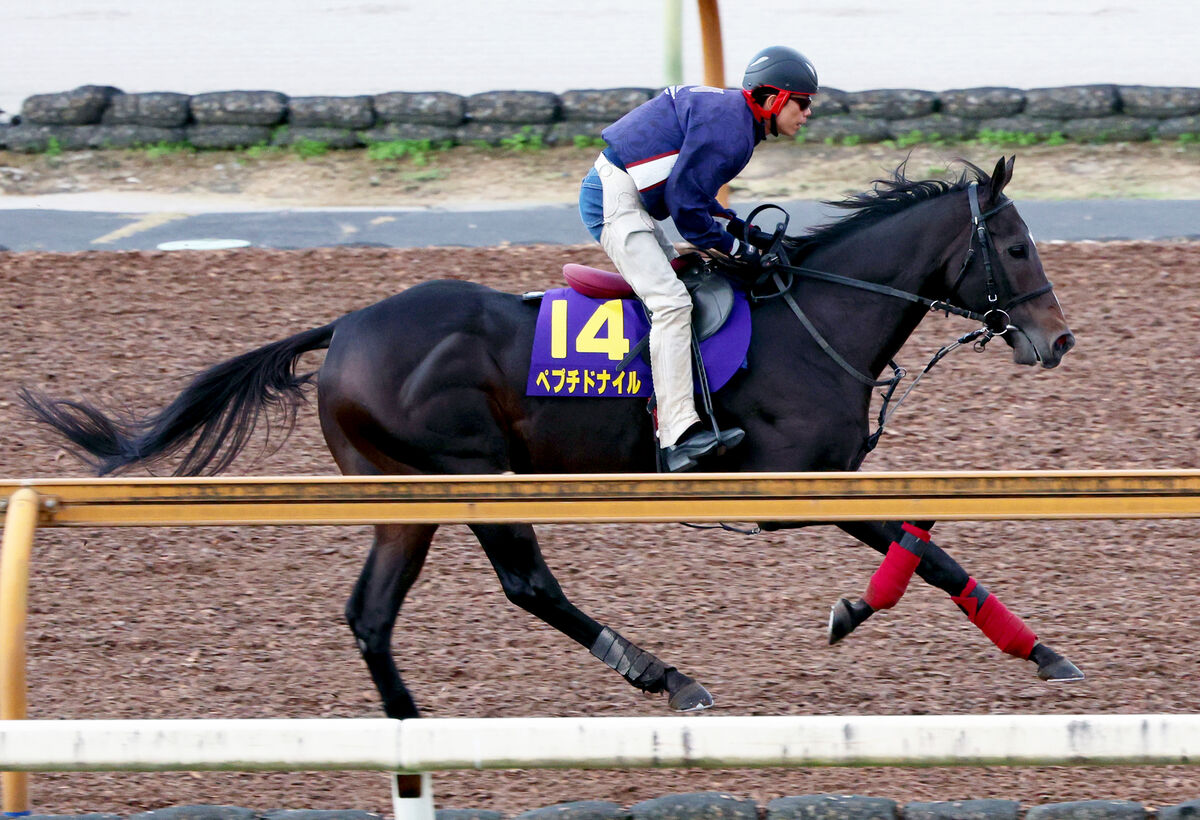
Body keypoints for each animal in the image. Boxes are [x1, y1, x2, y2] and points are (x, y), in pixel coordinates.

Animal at [23, 156, 1084, 720]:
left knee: (371, 615)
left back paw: (412, 732)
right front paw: (883, 617)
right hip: (470, 471)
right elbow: (922, 545)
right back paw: (664, 675)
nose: (1059, 339)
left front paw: (1006, 641)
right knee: (527, 584)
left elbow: (929, 537)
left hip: (407, 497)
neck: (814, 314)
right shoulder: (787, 486)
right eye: (1017, 245)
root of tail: (347, 329)